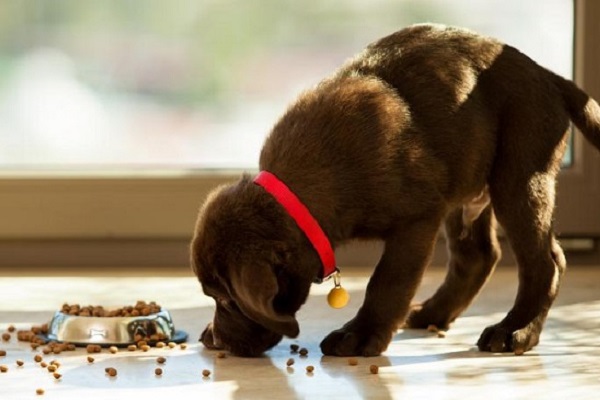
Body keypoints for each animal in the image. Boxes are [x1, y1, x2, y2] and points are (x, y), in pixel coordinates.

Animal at [191, 24, 600, 356]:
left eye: (226, 299)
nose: (215, 340)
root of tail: (549, 77)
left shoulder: (416, 220)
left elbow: (387, 282)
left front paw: (360, 335)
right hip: (467, 185)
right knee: (479, 255)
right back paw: (433, 313)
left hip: (519, 175)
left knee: (545, 261)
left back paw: (515, 331)